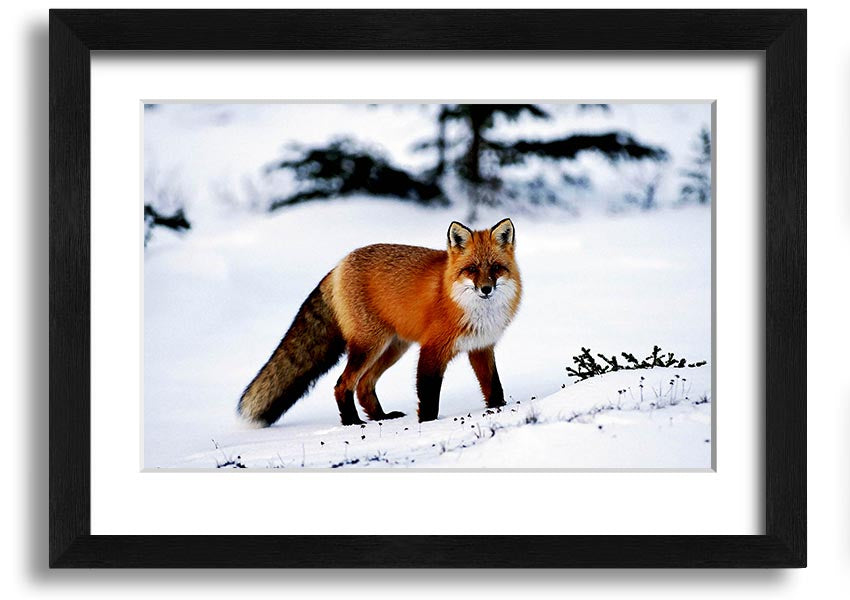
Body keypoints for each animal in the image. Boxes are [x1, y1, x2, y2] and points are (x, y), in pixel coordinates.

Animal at [238, 218, 521, 426]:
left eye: (495, 268)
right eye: (471, 269)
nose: (486, 289)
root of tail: (339, 265)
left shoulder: (481, 347)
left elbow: (494, 387)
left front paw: (499, 409)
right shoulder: (432, 349)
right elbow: (428, 395)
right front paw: (428, 424)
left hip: (393, 348)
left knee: (364, 385)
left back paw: (380, 417)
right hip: (369, 345)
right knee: (343, 384)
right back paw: (352, 422)